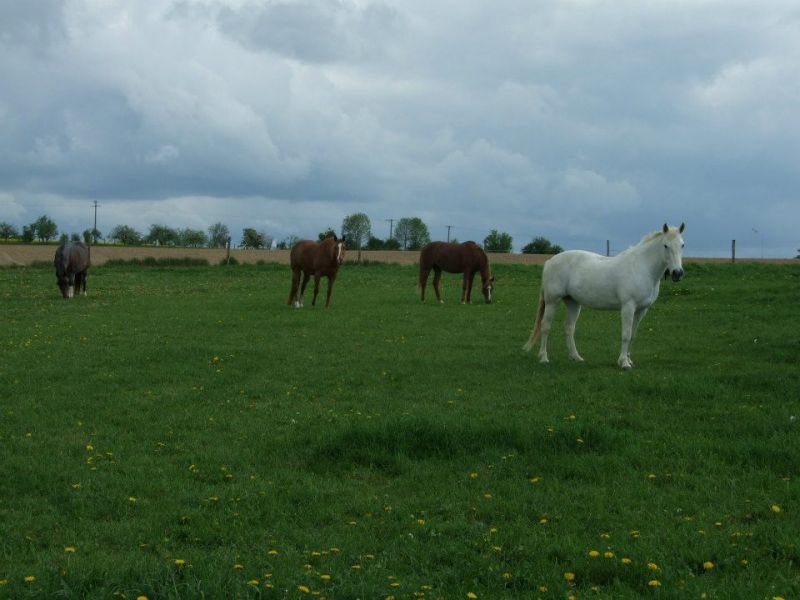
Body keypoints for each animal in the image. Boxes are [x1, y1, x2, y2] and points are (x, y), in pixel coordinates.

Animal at [520, 223, 684, 368]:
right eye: (666, 246)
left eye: (682, 245)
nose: (677, 273)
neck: (642, 267)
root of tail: (549, 261)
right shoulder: (628, 307)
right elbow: (626, 334)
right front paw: (624, 363)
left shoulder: (641, 310)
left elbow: (632, 335)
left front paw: (629, 360)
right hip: (552, 301)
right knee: (546, 326)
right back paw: (544, 358)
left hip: (573, 303)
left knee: (569, 328)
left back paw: (576, 357)